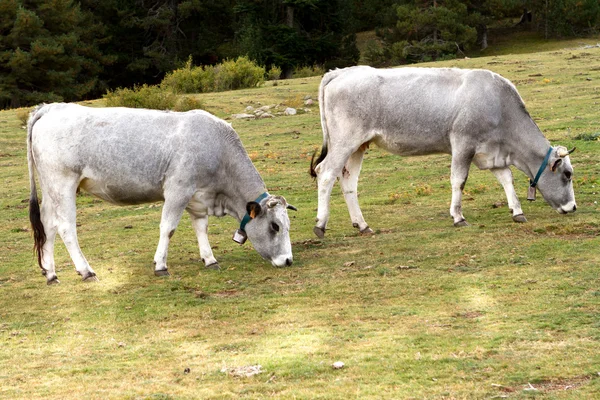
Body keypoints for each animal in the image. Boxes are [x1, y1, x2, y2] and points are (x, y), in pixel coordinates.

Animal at [28, 103, 296, 284]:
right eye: (275, 226)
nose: (288, 260)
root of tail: (52, 107)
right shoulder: (178, 189)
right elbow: (168, 228)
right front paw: (161, 266)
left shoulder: (198, 197)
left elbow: (201, 228)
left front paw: (210, 259)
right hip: (63, 183)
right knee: (66, 227)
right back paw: (86, 270)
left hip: (51, 187)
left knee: (48, 224)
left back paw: (51, 273)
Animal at [310, 66, 576, 238]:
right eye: (567, 174)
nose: (573, 207)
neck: (500, 107)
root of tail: (341, 72)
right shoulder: (462, 144)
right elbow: (459, 181)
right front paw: (458, 217)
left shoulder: (492, 152)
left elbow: (507, 179)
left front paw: (517, 211)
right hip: (345, 141)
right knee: (325, 173)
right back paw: (321, 225)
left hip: (358, 146)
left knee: (348, 181)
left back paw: (362, 224)